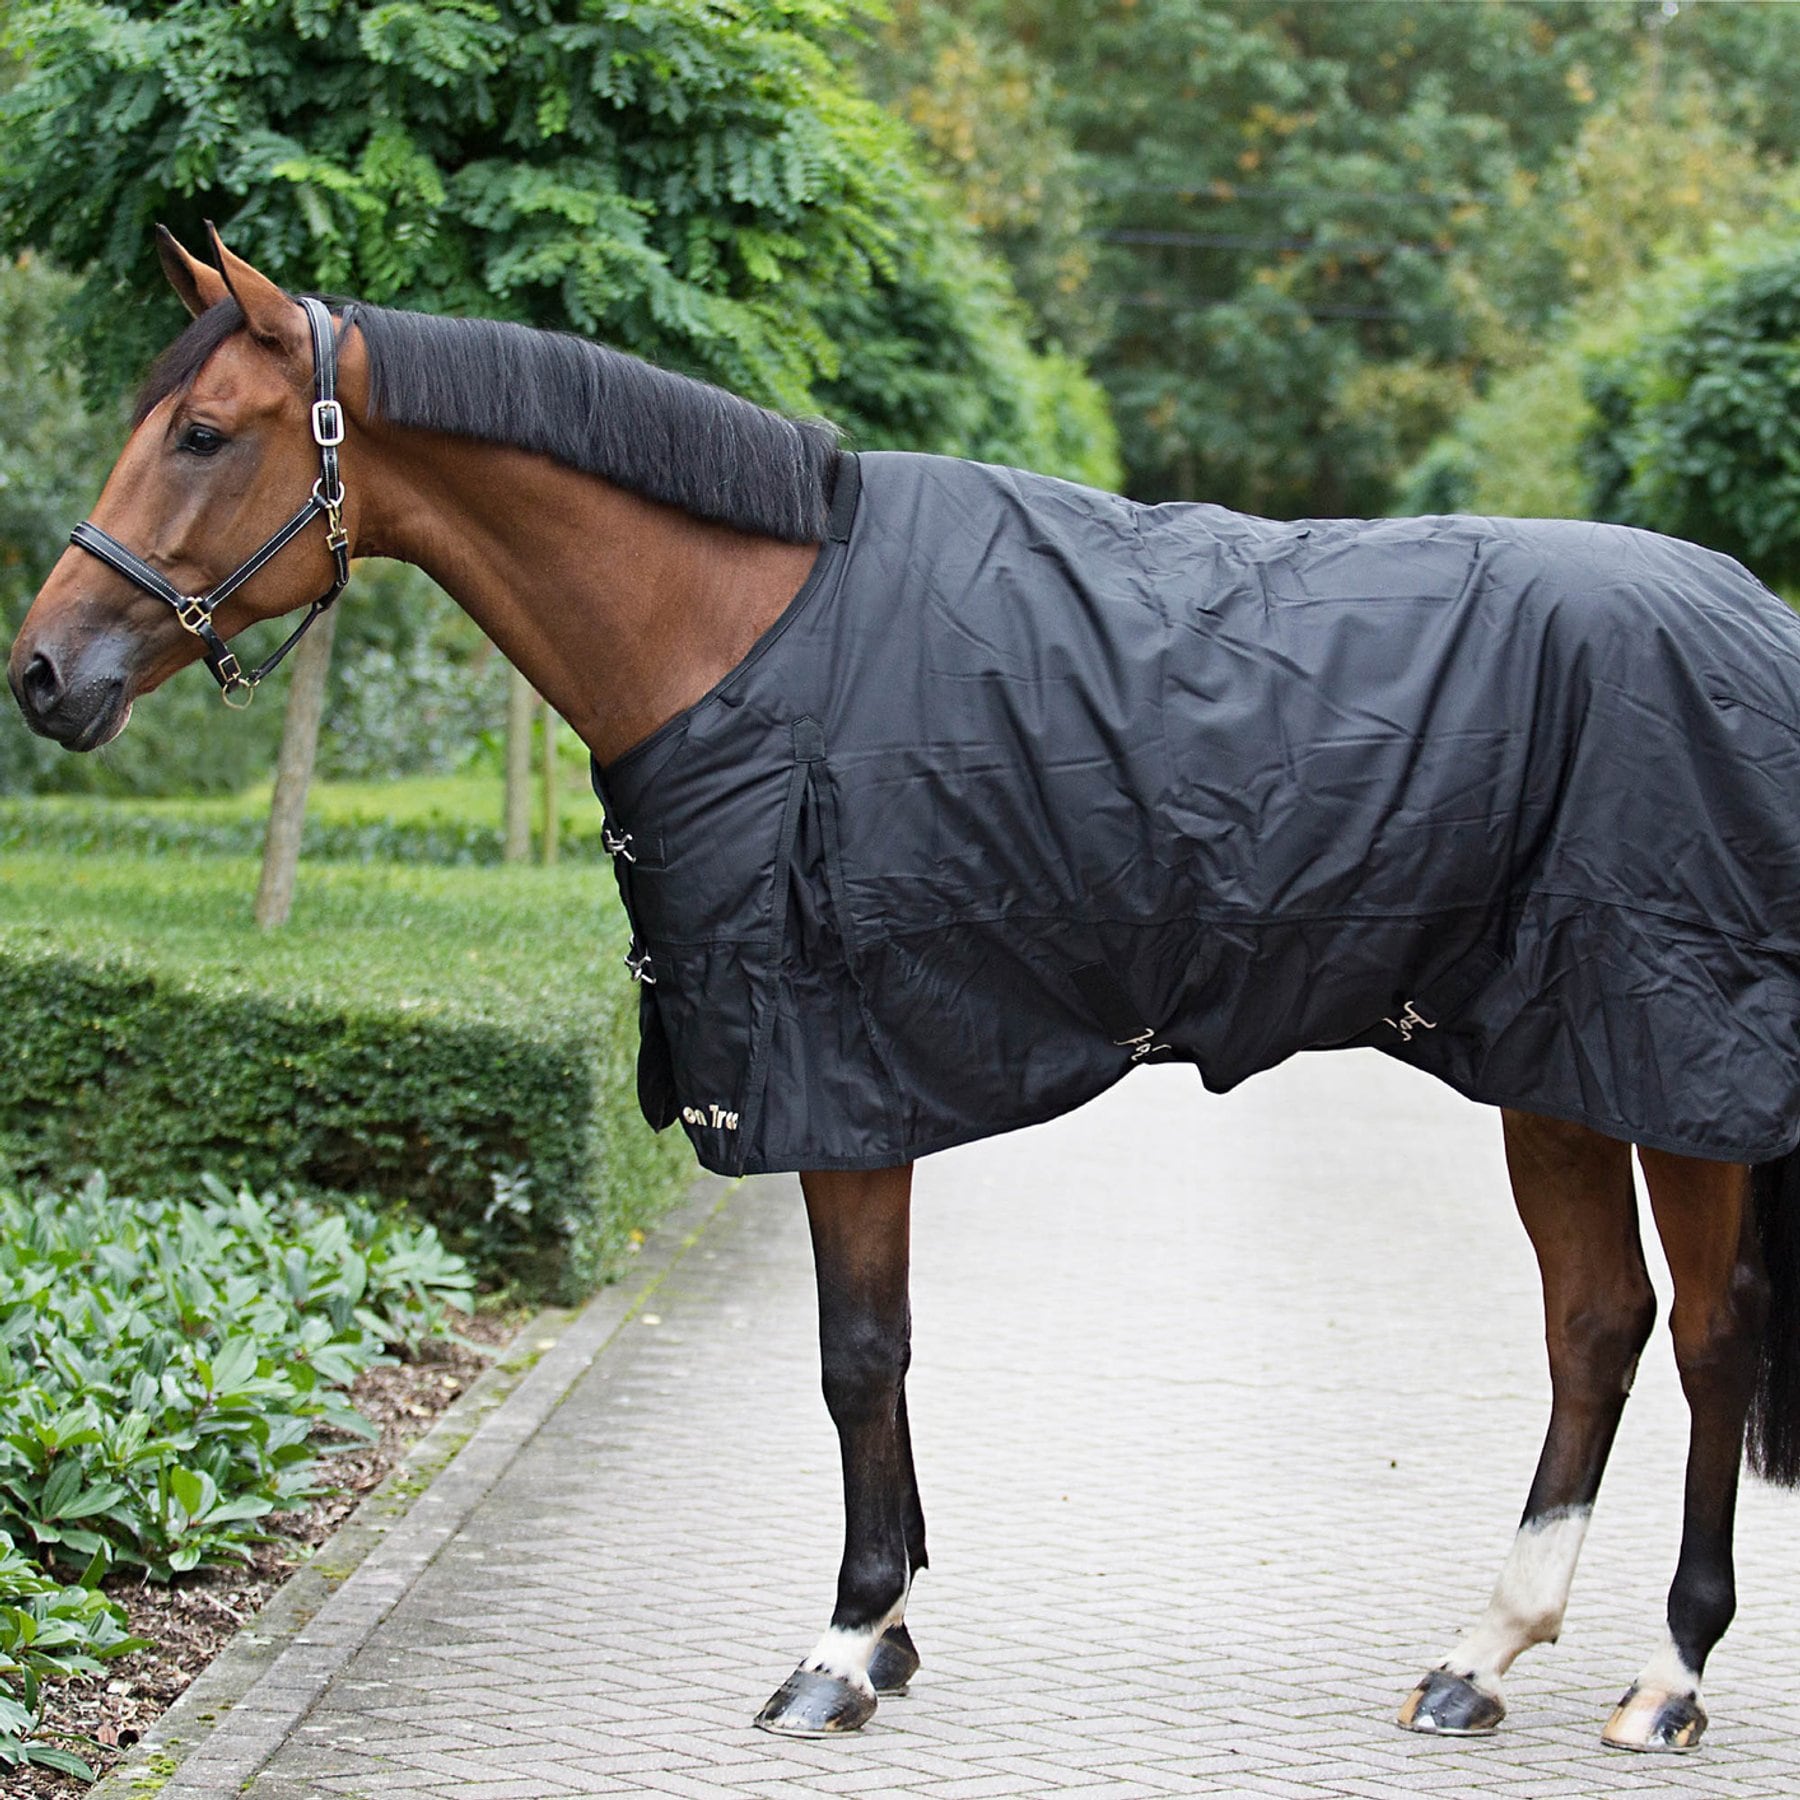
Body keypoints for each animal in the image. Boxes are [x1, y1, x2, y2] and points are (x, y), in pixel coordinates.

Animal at [12, 227, 1800, 1758]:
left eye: (204, 434)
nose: (44, 672)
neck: (743, 637)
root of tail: (1760, 625)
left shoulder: (833, 1071)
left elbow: (856, 1353)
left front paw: (839, 1648)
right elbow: (887, 1351)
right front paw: (892, 1631)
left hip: (1673, 1074)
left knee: (1712, 1339)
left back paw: (1669, 1677)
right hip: (1553, 1062)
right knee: (1597, 1326)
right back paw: (1480, 1657)